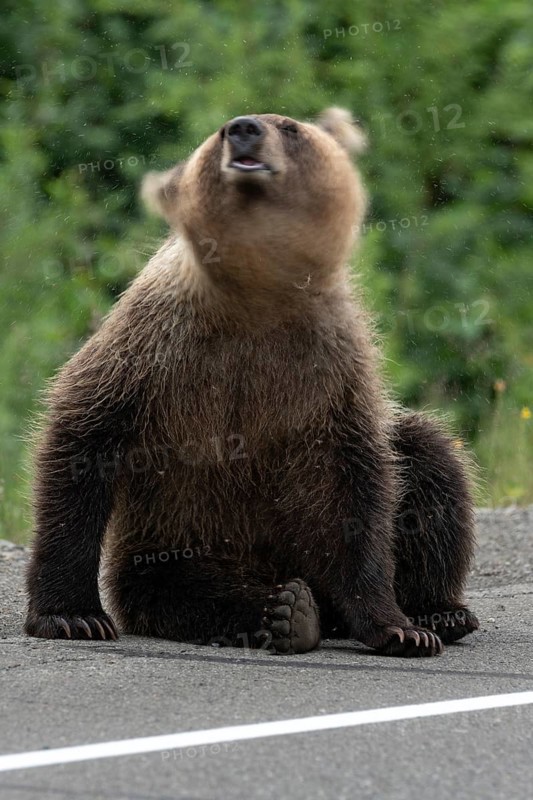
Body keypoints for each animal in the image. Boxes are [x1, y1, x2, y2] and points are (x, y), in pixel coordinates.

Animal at [25, 108, 479, 657]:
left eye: (289, 127)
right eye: (221, 130)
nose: (244, 128)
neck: (258, 294)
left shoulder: (331, 369)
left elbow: (358, 487)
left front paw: (399, 628)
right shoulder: (154, 346)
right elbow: (84, 433)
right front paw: (73, 615)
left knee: (428, 459)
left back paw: (439, 612)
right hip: (177, 539)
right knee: (188, 590)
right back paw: (286, 611)